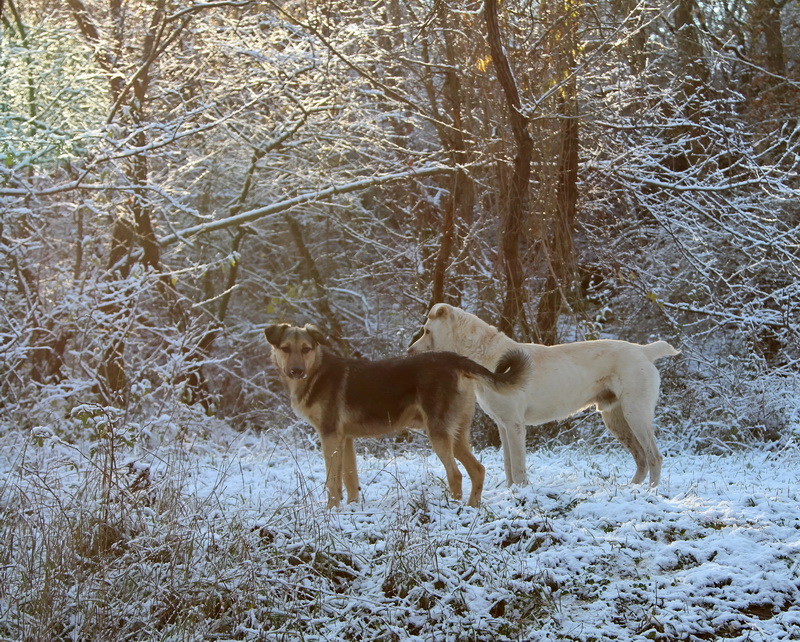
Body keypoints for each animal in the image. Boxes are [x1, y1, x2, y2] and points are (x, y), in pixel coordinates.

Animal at [266, 322, 528, 508]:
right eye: (285, 349)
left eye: (306, 349)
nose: (296, 371)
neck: (316, 372)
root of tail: (456, 360)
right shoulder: (345, 439)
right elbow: (350, 481)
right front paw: (351, 509)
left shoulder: (329, 437)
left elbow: (333, 483)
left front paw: (331, 512)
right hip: (456, 434)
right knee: (478, 470)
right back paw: (471, 508)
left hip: (438, 433)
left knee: (455, 475)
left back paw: (453, 510)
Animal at [410, 304, 680, 484]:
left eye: (426, 331)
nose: (409, 351)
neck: (485, 355)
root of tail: (644, 351)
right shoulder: (503, 426)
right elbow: (508, 465)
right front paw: (511, 492)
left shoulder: (515, 425)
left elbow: (518, 465)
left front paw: (521, 494)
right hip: (616, 419)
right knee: (641, 458)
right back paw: (632, 491)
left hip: (636, 414)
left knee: (654, 457)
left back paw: (651, 494)